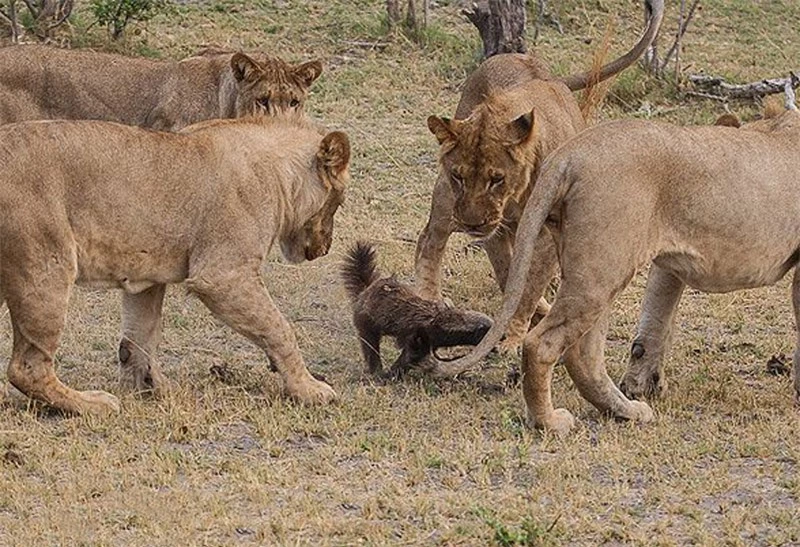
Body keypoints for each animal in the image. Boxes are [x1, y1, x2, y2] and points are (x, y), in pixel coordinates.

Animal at [0, 115, 350, 416]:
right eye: (339, 201)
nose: (326, 247)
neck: (279, 177)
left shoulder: (145, 275)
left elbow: (139, 337)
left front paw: (154, 388)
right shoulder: (223, 276)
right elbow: (279, 329)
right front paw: (308, 389)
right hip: (47, 266)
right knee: (27, 368)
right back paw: (92, 404)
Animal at [344, 242, 494, 378]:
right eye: (485, 332)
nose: (497, 344)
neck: (441, 320)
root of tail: (366, 291)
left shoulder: (429, 342)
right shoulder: (418, 336)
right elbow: (410, 355)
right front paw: (391, 374)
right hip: (367, 320)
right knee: (370, 345)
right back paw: (376, 370)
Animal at [416, 0, 664, 352]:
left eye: (496, 179)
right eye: (459, 176)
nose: (472, 223)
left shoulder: (542, 233)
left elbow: (528, 285)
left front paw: (514, 337)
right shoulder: (489, 224)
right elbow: (510, 274)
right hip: (445, 199)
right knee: (430, 240)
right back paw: (428, 298)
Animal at [434, 106, 800, 432]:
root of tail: (570, 153)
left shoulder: (669, 265)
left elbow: (656, 320)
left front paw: (643, 383)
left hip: (598, 268)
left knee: (584, 354)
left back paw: (626, 411)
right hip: (602, 269)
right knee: (543, 344)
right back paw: (550, 422)